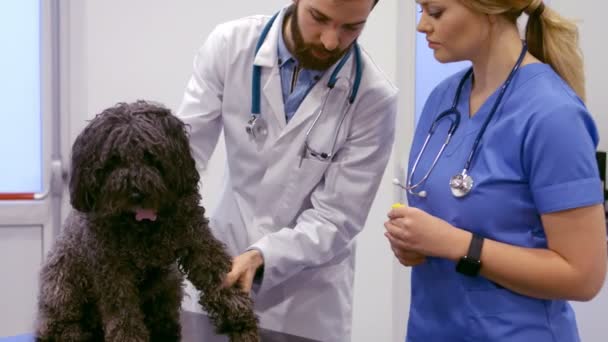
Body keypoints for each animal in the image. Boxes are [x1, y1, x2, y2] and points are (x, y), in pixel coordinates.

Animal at [35, 100, 258, 340]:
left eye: (150, 155)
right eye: (114, 160)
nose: (134, 192)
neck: (142, 222)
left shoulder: (195, 237)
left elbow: (217, 273)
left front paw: (241, 319)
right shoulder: (112, 267)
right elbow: (123, 312)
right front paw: (129, 337)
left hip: (169, 281)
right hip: (61, 284)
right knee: (57, 322)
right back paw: (71, 332)